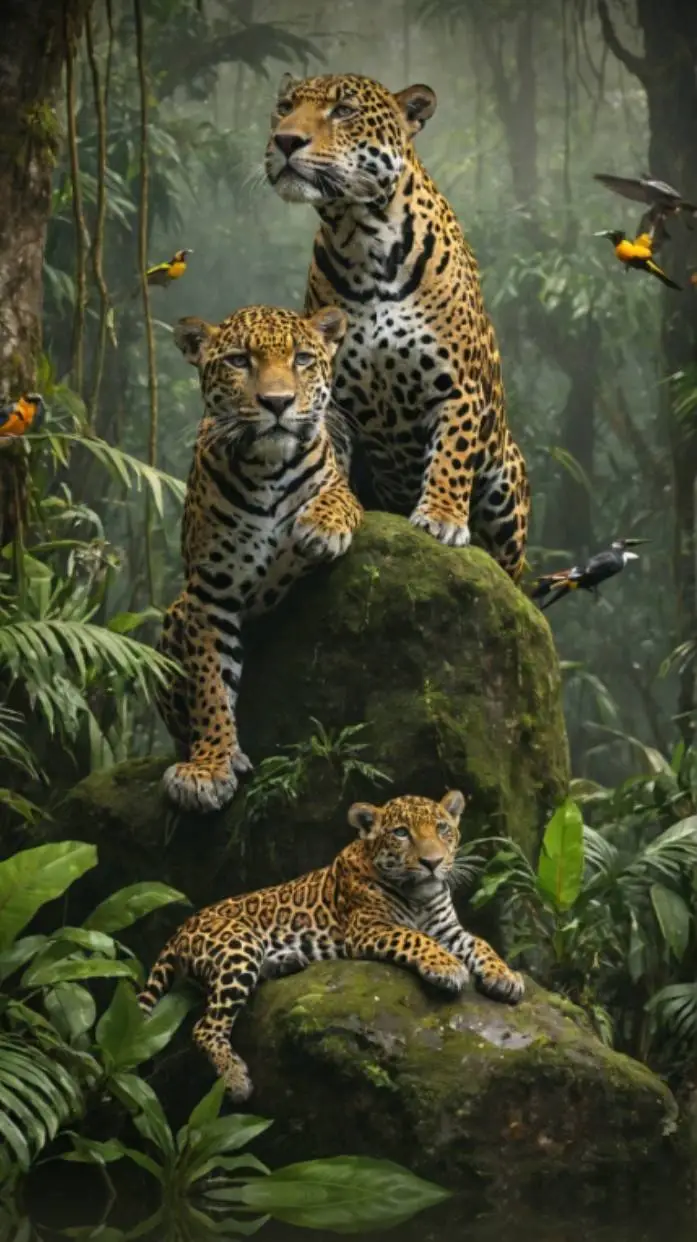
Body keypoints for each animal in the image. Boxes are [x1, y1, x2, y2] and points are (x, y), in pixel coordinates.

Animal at [138, 790, 525, 1100]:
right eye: (401, 833)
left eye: (443, 828)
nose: (433, 862)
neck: (420, 896)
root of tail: (181, 928)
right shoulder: (368, 928)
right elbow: (415, 937)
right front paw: (446, 967)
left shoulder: (449, 931)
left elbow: (483, 944)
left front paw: (505, 977)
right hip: (238, 944)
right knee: (206, 1027)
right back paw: (236, 1080)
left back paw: (286, 960)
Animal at [157, 304, 363, 815]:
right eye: (238, 361)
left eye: (303, 359)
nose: (277, 402)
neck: (267, 469)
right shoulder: (208, 594)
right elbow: (210, 684)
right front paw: (210, 767)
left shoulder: (344, 486)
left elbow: (336, 497)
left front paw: (320, 528)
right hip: (175, 611)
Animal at [264, 72, 530, 581]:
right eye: (284, 107)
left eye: (343, 111)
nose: (285, 140)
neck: (361, 236)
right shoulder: (333, 400)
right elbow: (330, 466)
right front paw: (328, 518)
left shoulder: (458, 387)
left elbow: (451, 453)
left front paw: (442, 518)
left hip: (506, 481)